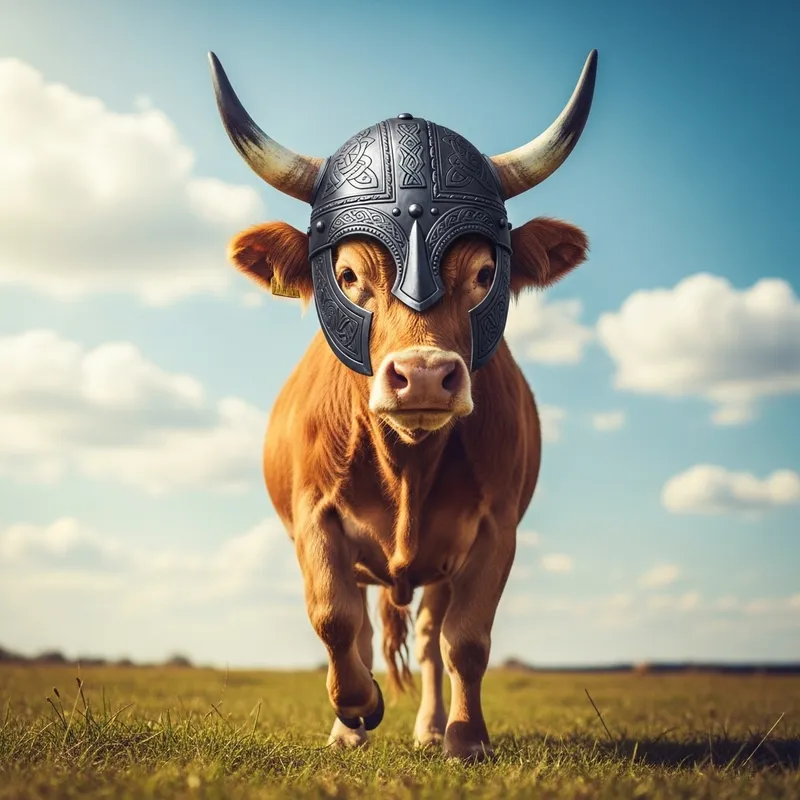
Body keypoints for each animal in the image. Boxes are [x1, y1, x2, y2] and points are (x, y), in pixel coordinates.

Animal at [208, 49, 598, 761]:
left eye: (483, 275)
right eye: (349, 276)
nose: (421, 377)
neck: (407, 465)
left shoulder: (495, 530)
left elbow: (465, 641)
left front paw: (466, 738)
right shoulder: (314, 518)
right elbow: (334, 621)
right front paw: (358, 709)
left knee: (427, 639)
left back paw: (430, 727)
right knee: (363, 631)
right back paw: (350, 730)